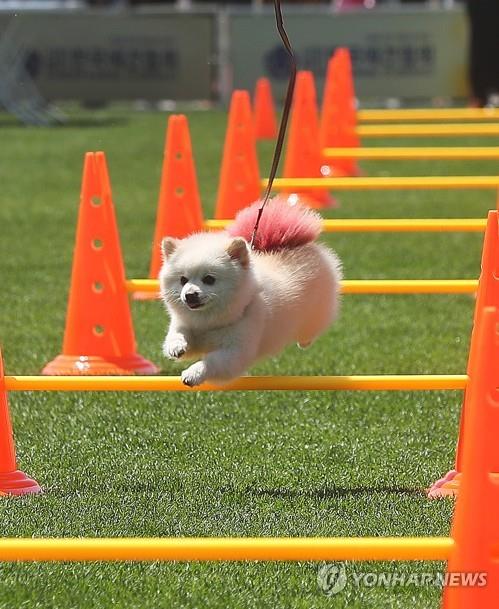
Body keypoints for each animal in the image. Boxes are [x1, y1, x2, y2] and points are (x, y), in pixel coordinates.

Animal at [160, 202, 344, 388]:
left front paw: (193, 374)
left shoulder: (236, 352)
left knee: (312, 328)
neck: (210, 323)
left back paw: (305, 341)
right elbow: (177, 334)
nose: (190, 295)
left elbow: (211, 361)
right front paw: (176, 346)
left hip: (316, 312)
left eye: (209, 279)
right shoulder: (188, 326)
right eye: (183, 280)